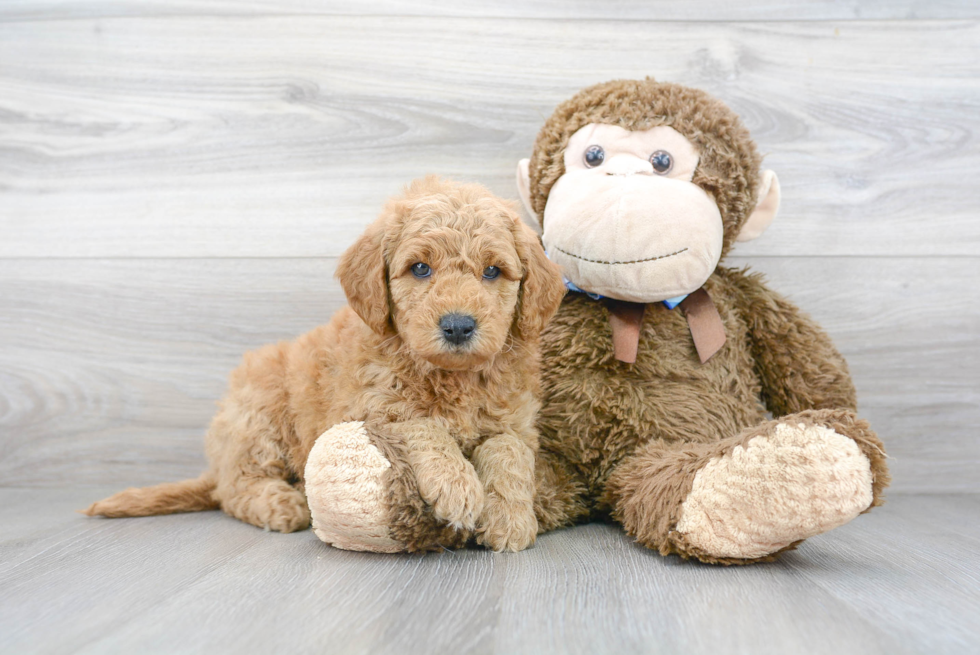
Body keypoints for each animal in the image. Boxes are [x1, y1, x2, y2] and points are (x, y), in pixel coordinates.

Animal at [84, 176, 568, 552]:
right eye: (420, 268)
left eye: (492, 272)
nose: (458, 326)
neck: (453, 377)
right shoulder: (367, 408)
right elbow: (421, 424)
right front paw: (458, 485)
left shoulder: (516, 421)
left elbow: (508, 452)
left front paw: (509, 519)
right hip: (259, 414)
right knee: (233, 489)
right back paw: (282, 504)